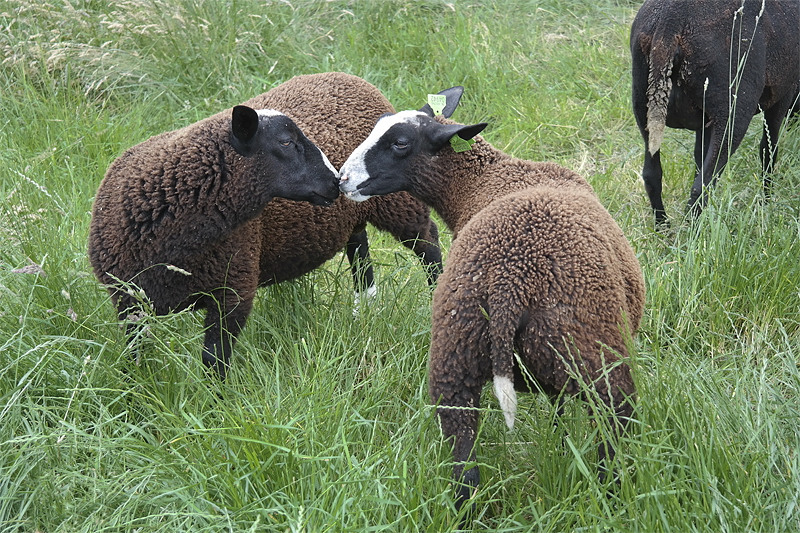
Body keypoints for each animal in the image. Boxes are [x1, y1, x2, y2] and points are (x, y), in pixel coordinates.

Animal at [632, 0, 800, 227]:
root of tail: (669, 21)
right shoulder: (782, 95)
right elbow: (768, 150)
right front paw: (766, 204)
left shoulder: (706, 121)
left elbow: (698, 156)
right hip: (733, 110)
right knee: (703, 185)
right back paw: (691, 233)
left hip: (642, 105)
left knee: (652, 175)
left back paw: (663, 228)